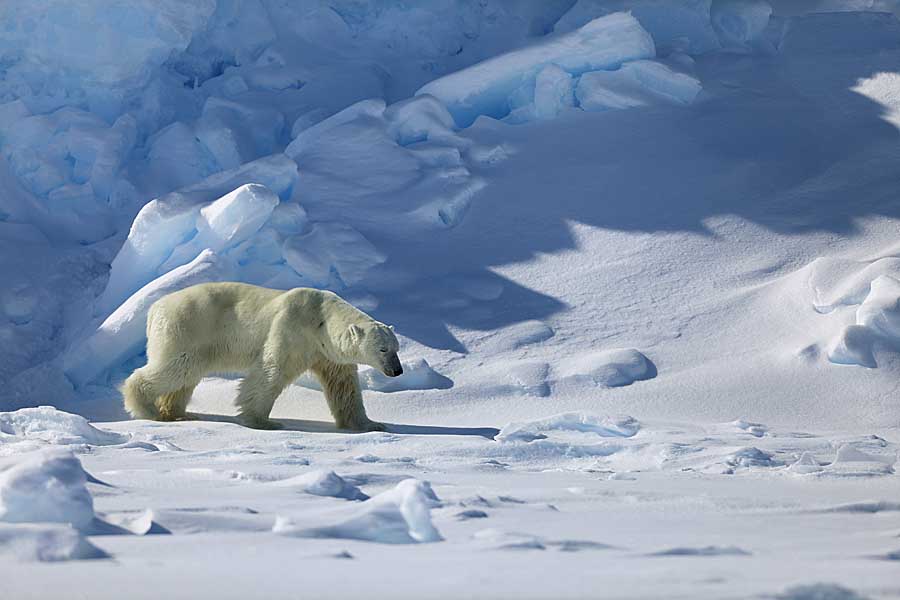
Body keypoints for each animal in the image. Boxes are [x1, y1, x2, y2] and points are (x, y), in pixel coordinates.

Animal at [121, 282, 402, 432]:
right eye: (383, 349)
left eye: (396, 348)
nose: (397, 371)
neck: (321, 318)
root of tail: (154, 309)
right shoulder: (292, 328)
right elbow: (271, 370)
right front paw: (262, 421)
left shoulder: (328, 353)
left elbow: (344, 387)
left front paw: (371, 424)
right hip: (186, 327)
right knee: (176, 367)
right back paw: (147, 408)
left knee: (185, 376)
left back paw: (178, 413)